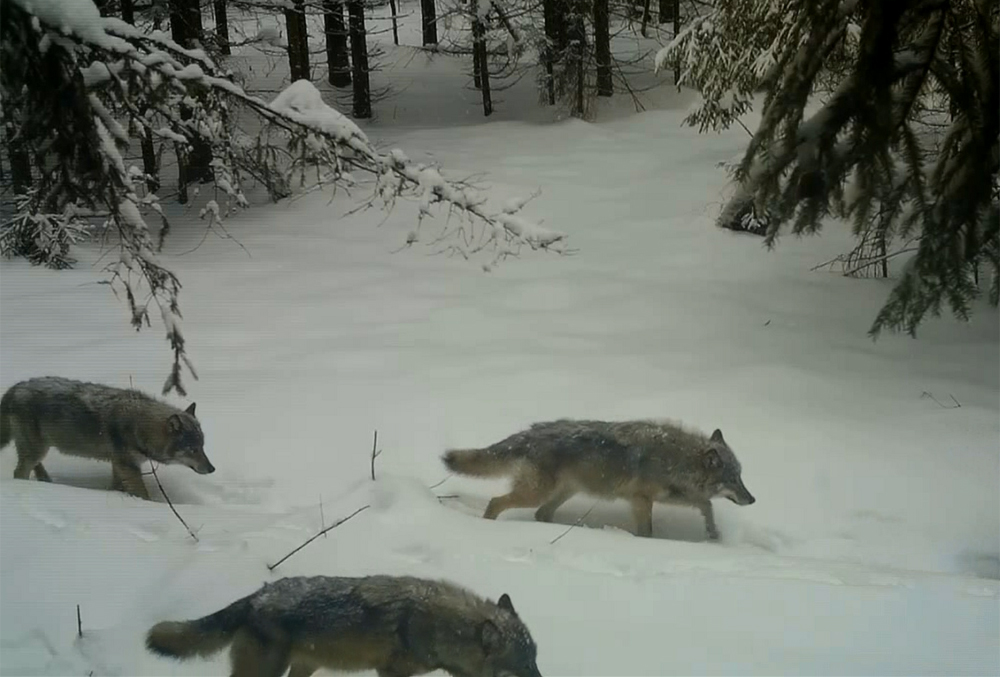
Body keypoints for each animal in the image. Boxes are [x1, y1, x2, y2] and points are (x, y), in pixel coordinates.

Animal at [0, 376, 214, 500]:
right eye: (193, 450)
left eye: (203, 447)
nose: (212, 469)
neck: (139, 425)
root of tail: (15, 388)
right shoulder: (127, 466)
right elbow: (143, 494)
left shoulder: (119, 465)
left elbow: (117, 487)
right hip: (36, 449)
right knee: (19, 472)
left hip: (38, 449)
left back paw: (46, 482)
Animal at [443, 419, 755, 540]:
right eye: (734, 480)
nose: (752, 499)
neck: (677, 460)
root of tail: (531, 432)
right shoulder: (641, 500)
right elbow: (648, 531)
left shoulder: (674, 497)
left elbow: (707, 505)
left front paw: (714, 534)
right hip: (535, 493)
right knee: (495, 503)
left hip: (560, 494)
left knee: (541, 515)